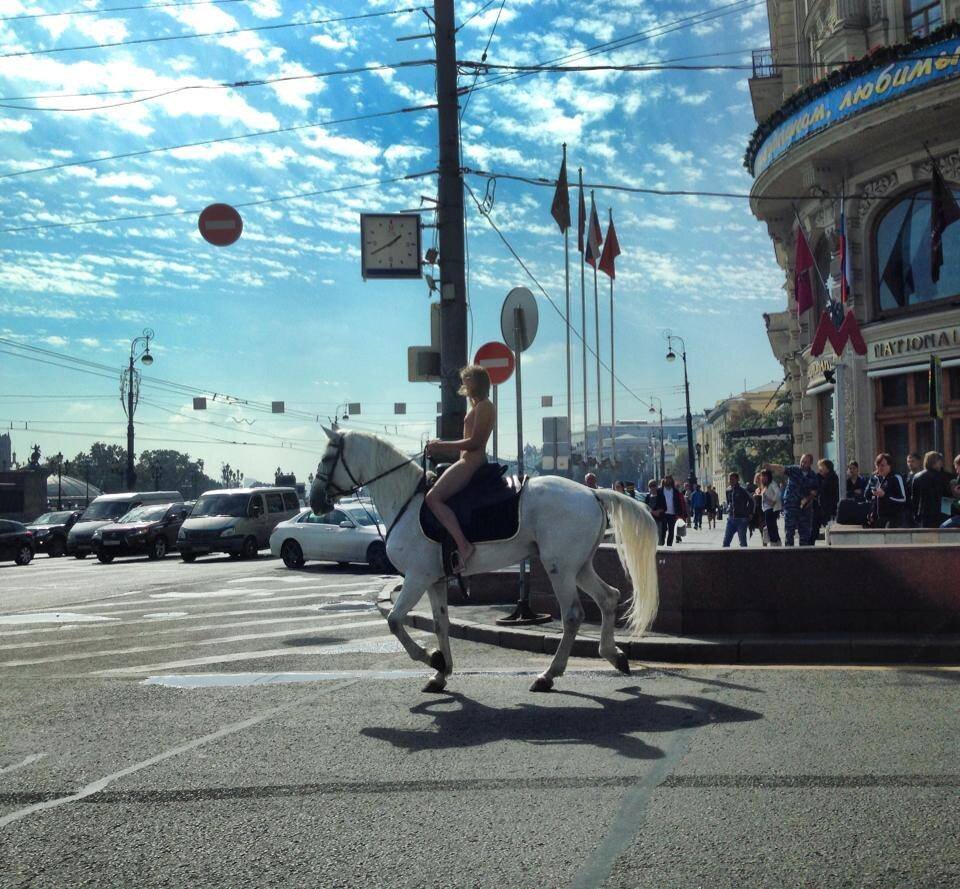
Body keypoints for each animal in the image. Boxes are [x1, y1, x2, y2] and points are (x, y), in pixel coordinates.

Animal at [312, 430, 656, 692]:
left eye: (327, 458)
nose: (315, 501)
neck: (409, 501)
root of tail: (592, 492)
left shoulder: (417, 577)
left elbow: (395, 621)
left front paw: (433, 659)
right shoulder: (434, 580)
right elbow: (441, 623)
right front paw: (441, 673)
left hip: (560, 568)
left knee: (572, 615)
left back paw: (548, 675)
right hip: (579, 567)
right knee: (609, 597)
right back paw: (614, 655)